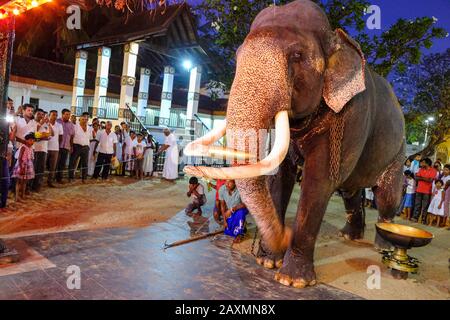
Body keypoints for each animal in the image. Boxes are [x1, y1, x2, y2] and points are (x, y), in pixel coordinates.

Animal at [183, 0, 404, 288]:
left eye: (297, 55)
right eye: (237, 56)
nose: (284, 233)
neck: (334, 36)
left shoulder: (351, 115)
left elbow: (319, 180)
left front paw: (293, 280)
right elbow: (281, 175)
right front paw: (266, 262)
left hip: (398, 151)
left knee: (387, 195)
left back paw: (383, 245)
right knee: (350, 191)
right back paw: (349, 236)